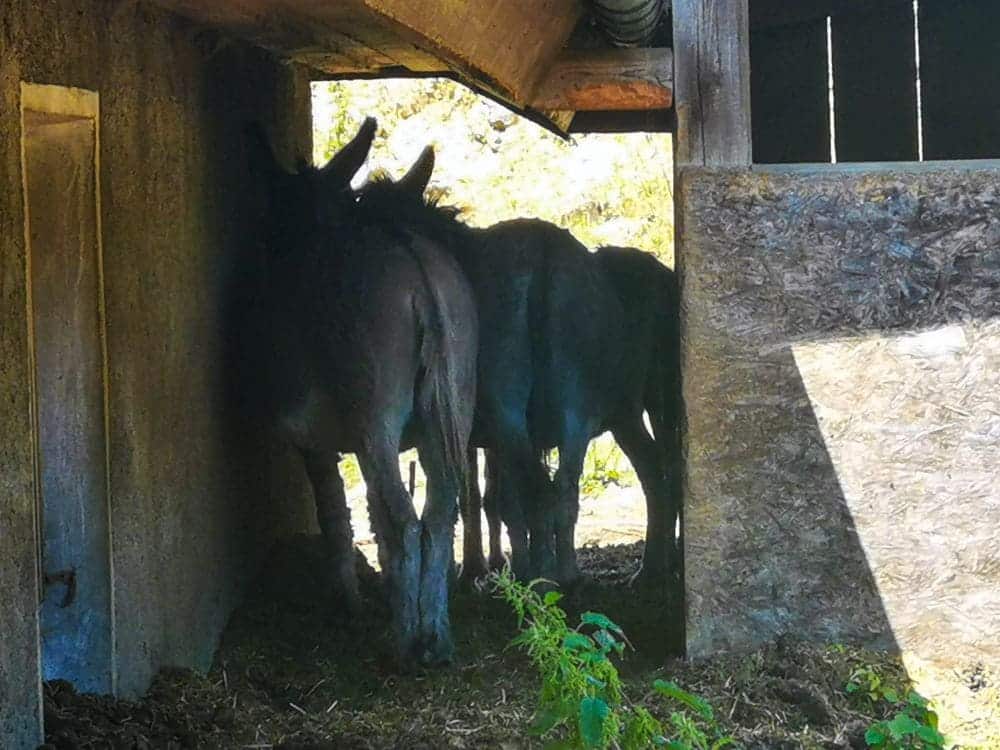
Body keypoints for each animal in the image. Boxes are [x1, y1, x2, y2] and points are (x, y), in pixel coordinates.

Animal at [242, 120, 476, 668]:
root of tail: (417, 268)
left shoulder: (314, 443)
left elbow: (335, 512)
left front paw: (347, 601)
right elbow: (367, 514)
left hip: (376, 424)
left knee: (405, 520)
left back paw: (405, 645)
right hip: (447, 414)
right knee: (439, 514)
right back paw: (436, 637)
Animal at [360, 148, 680, 588]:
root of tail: (545, 259)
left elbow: (484, 498)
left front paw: (490, 568)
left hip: (527, 409)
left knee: (539, 491)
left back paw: (546, 575)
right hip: (606, 407)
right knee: (597, 482)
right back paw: (627, 569)